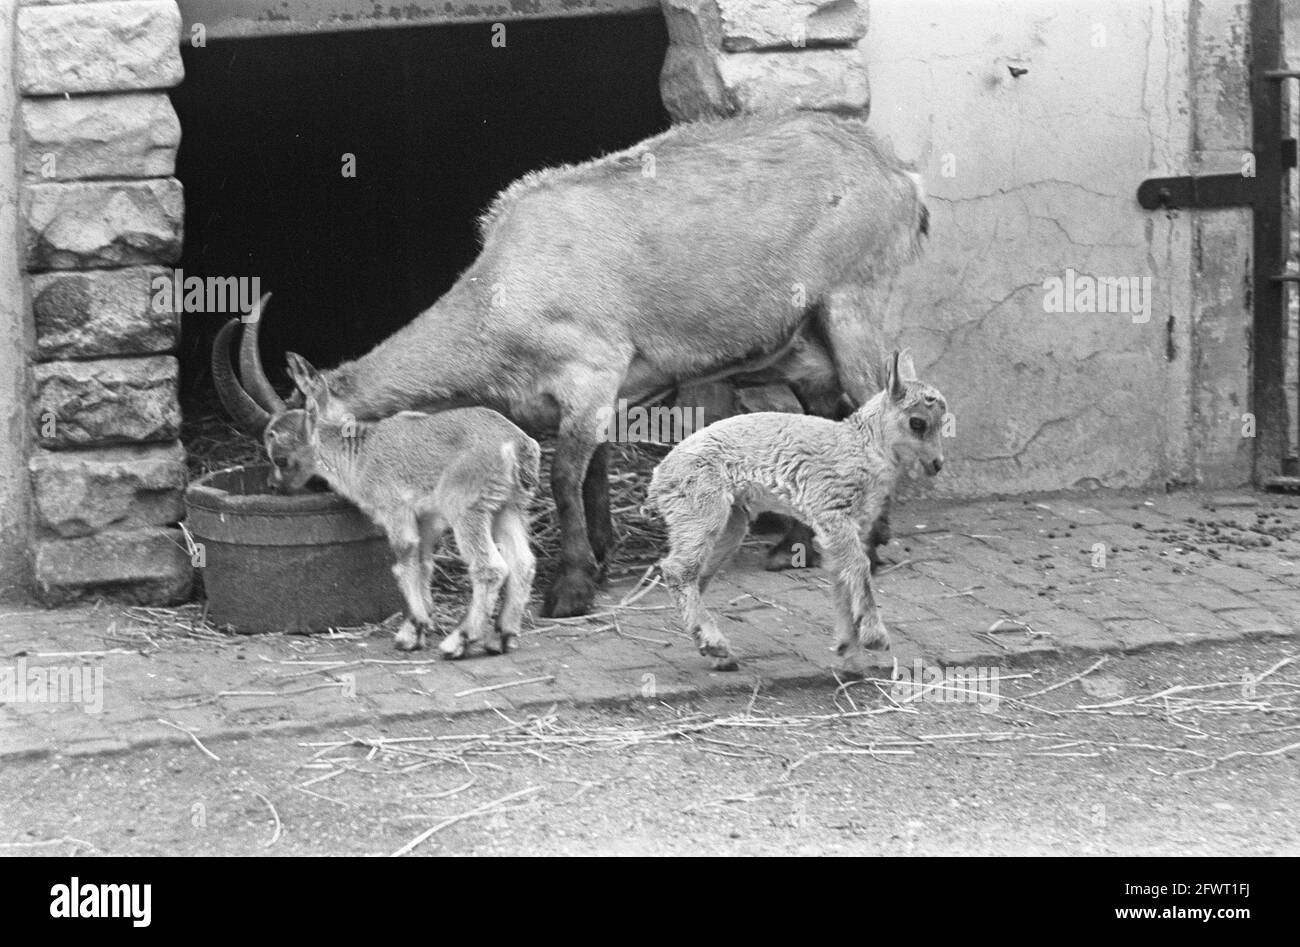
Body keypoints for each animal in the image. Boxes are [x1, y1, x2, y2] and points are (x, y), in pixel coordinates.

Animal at [215, 111, 925, 616]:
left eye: (286, 451)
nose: (280, 492)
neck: (507, 290)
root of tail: (898, 174)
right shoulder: (595, 394)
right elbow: (594, 473)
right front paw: (602, 555)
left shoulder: (590, 374)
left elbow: (563, 477)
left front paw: (572, 587)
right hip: (803, 339)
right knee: (826, 412)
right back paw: (794, 544)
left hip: (855, 301)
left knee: (874, 400)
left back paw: (868, 541)